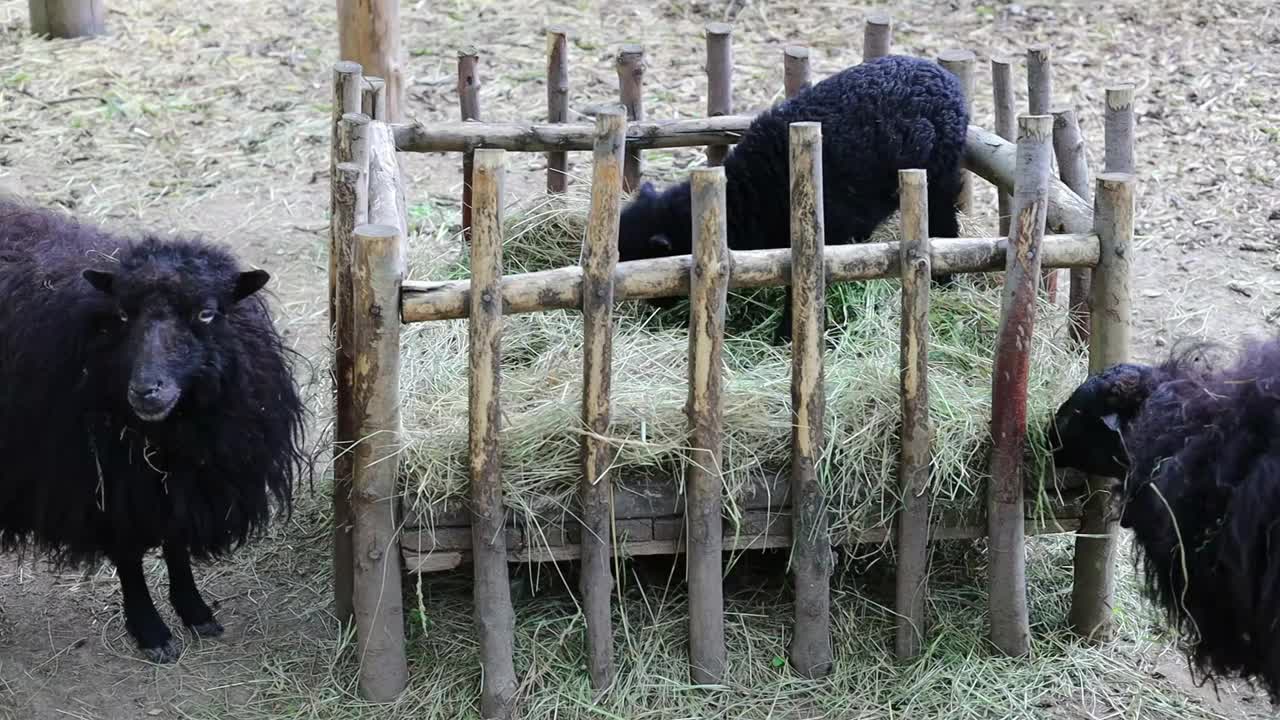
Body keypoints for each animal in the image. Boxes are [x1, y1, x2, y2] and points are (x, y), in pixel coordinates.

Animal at [0, 196, 307, 661]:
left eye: (207, 313)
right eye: (123, 315)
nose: (146, 390)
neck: (171, 435)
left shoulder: (179, 482)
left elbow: (176, 542)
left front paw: (195, 611)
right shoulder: (107, 485)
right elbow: (129, 557)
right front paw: (151, 630)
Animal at [619, 54, 967, 340]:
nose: (650, 310)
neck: (747, 197)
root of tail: (948, 80)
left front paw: (786, 337)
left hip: (940, 175)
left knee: (945, 221)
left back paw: (945, 282)